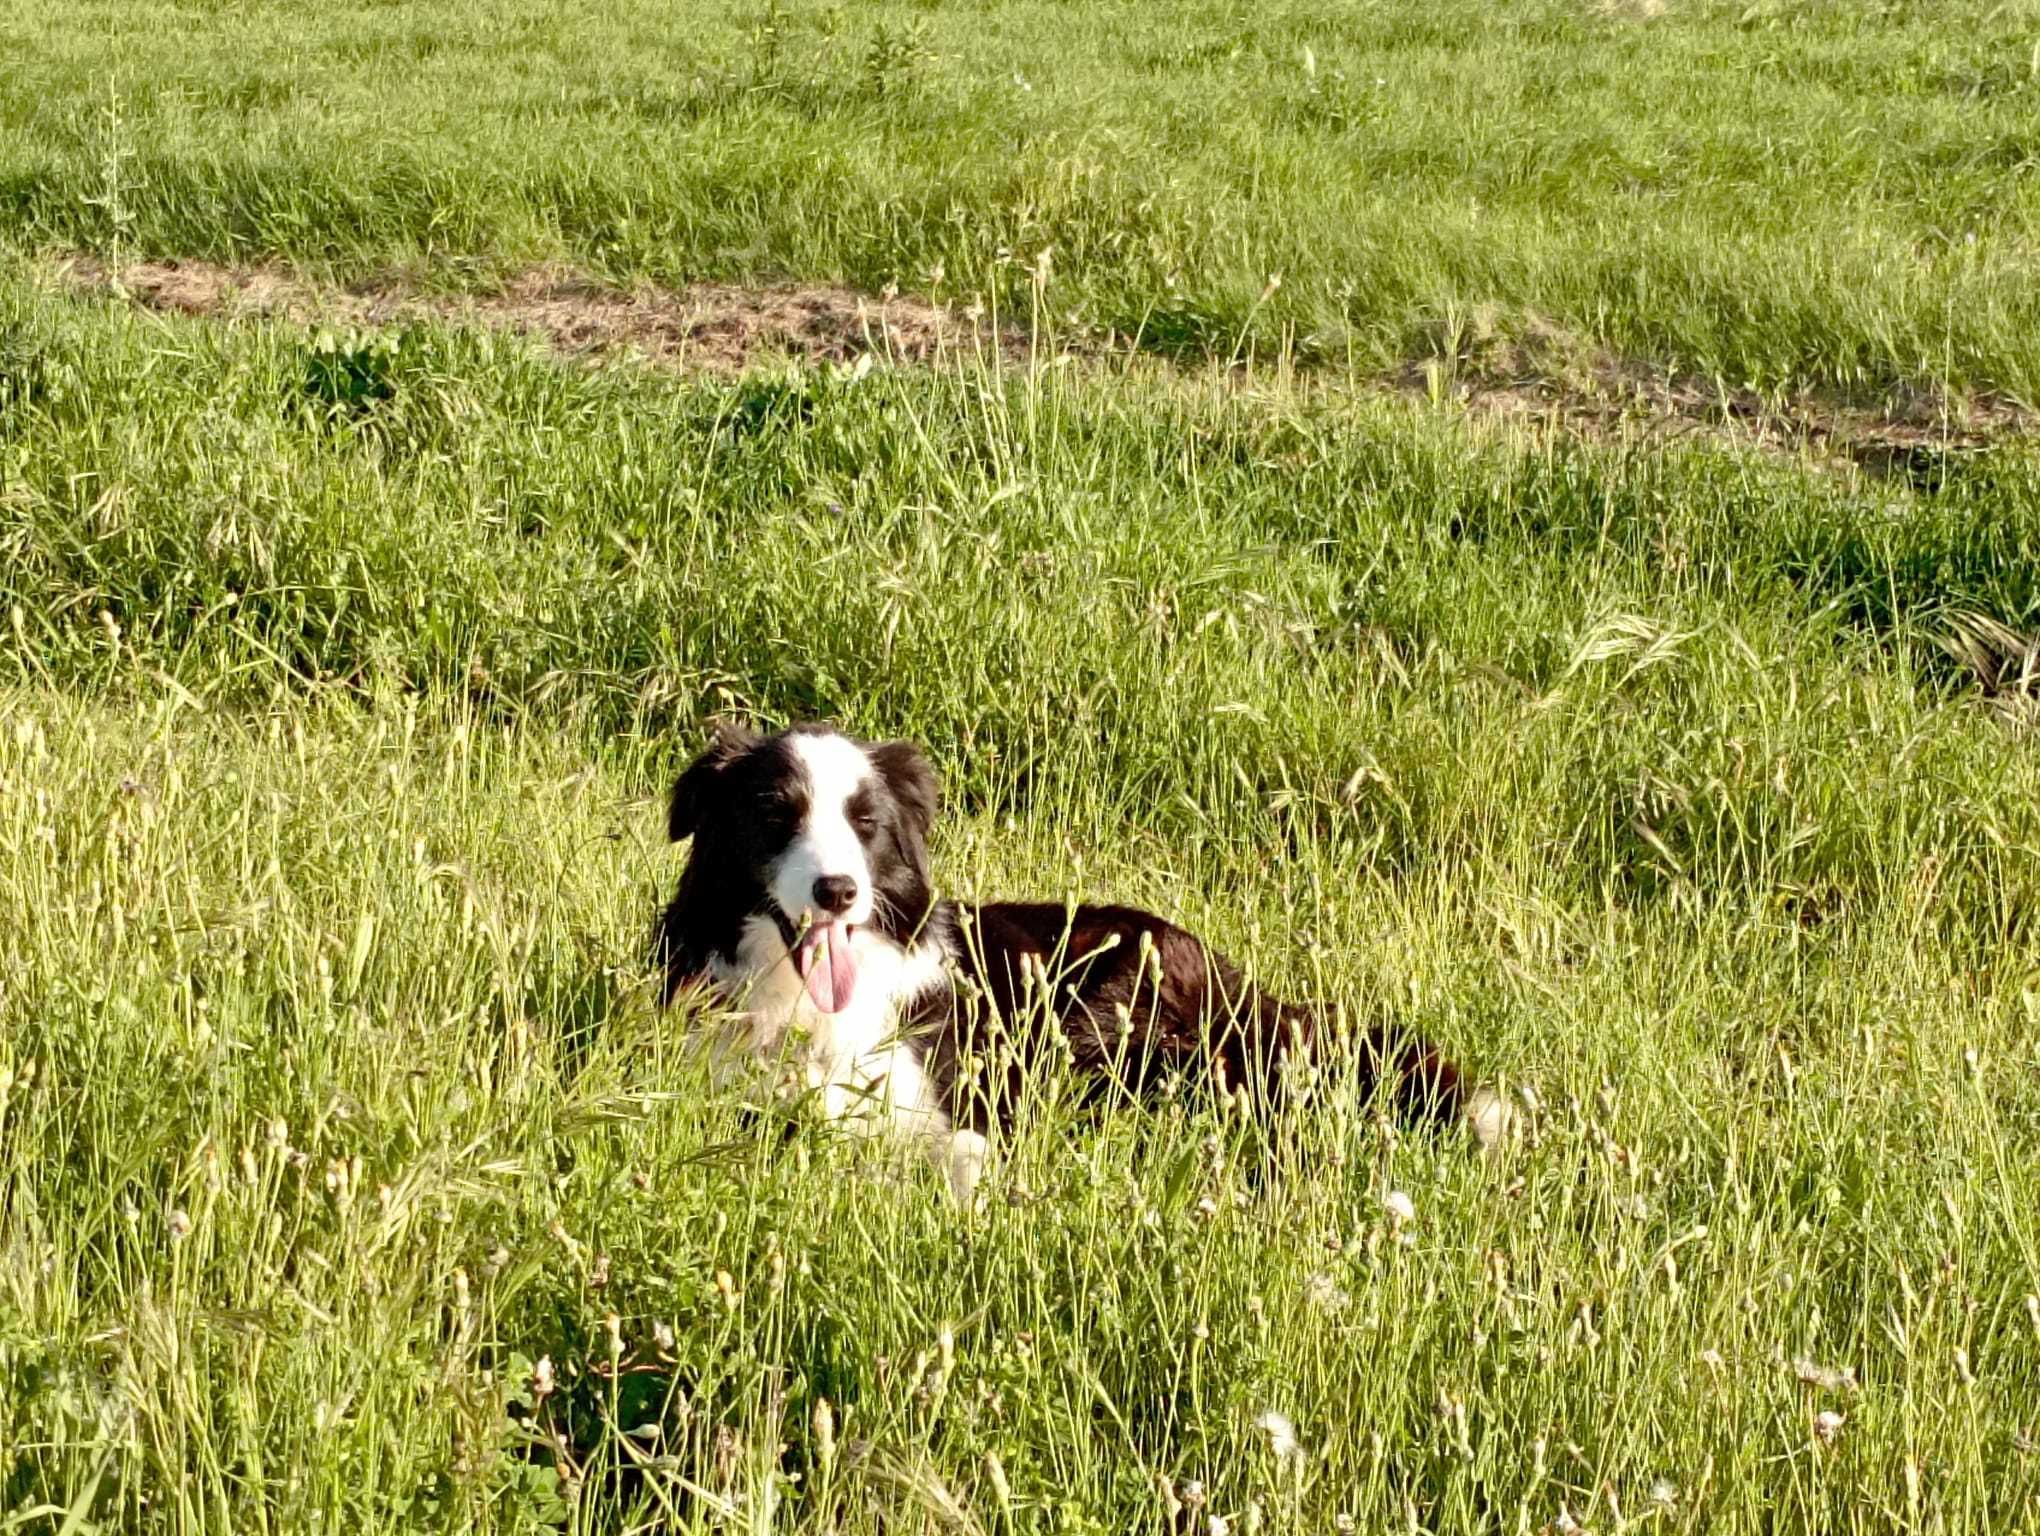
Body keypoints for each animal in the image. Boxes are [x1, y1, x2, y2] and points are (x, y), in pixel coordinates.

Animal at [652, 718, 1517, 1199]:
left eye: (866, 824)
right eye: (776, 814)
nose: (837, 891)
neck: (802, 1005)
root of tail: (1240, 979)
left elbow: (956, 1152)